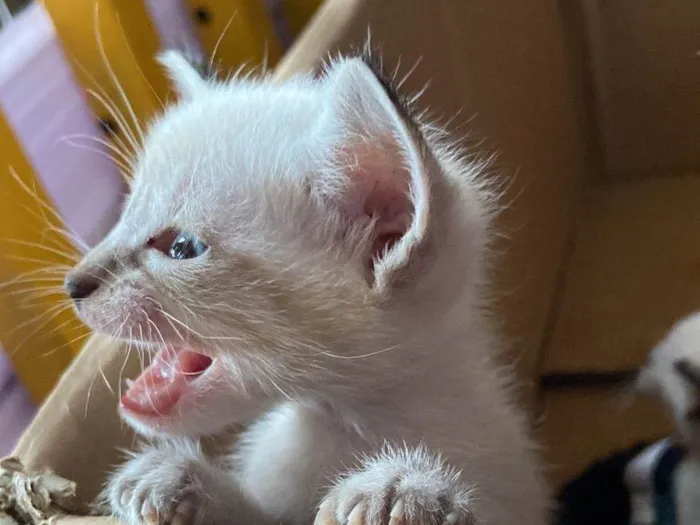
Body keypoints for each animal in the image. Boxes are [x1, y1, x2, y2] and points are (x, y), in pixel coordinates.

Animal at [64, 49, 548, 524]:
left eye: (182, 247)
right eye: (126, 212)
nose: (73, 283)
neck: (343, 423)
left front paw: (403, 490)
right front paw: (173, 480)